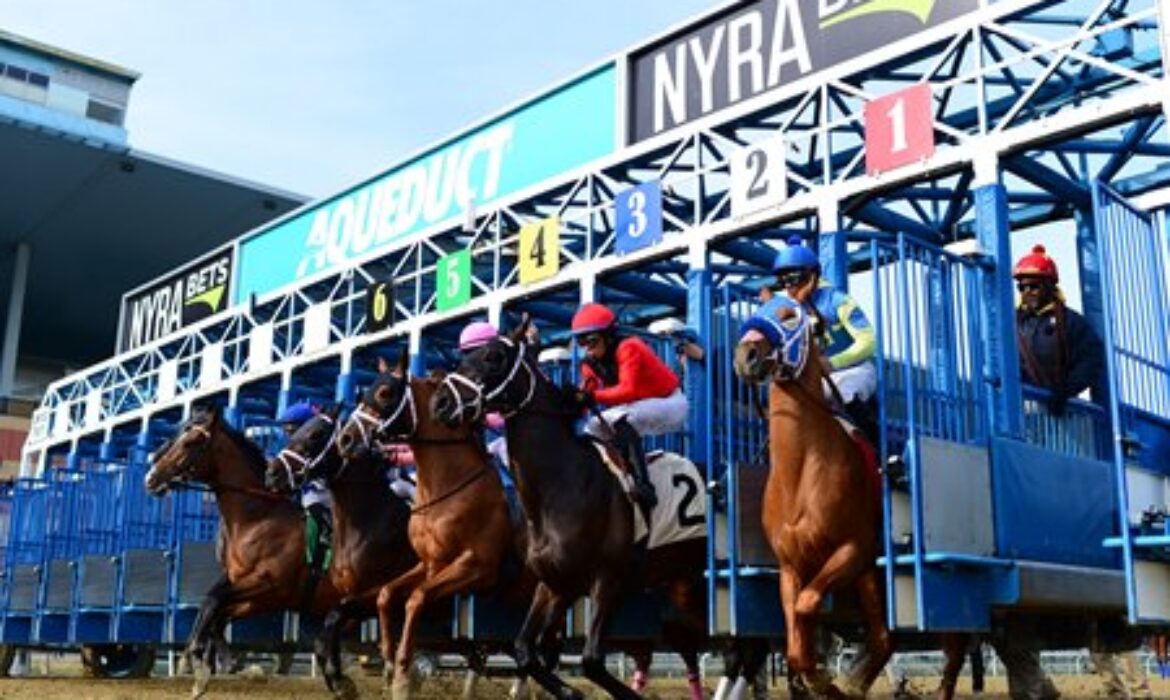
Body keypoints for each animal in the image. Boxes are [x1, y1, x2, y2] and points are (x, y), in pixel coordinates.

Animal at [144, 409, 343, 697]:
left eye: (191, 442)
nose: (151, 478)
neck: (259, 518)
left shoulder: (269, 584)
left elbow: (213, 602)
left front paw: (197, 658)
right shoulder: (251, 589)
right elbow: (215, 607)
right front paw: (215, 662)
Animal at [264, 405, 416, 700]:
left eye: (315, 435)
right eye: (293, 434)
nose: (272, 473)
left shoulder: (374, 594)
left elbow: (333, 623)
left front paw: (345, 680)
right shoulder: (347, 596)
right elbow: (324, 637)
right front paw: (341, 682)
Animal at [428, 323, 702, 700]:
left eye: (494, 356)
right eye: (463, 356)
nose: (439, 402)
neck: (560, 487)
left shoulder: (608, 578)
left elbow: (592, 660)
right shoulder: (556, 583)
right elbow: (525, 650)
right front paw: (569, 691)